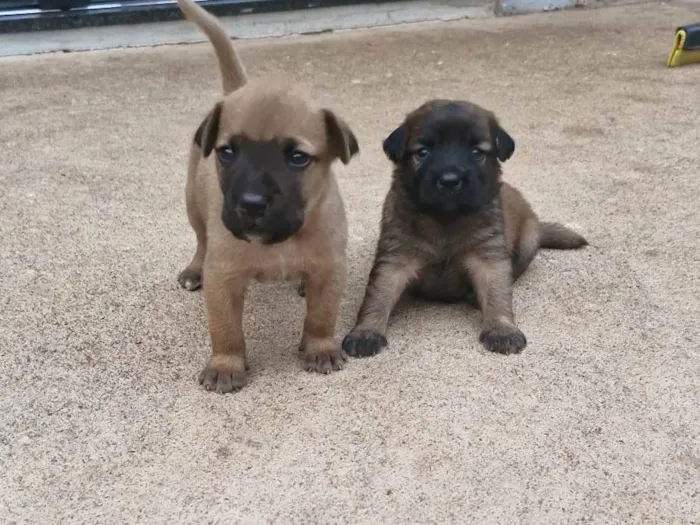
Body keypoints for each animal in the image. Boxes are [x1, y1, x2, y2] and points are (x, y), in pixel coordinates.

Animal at [175, 0, 360, 390]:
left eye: (297, 158)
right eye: (227, 152)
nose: (251, 204)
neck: (281, 241)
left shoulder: (331, 267)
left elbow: (322, 315)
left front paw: (320, 348)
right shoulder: (223, 278)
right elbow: (226, 329)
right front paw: (226, 365)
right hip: (193, 204)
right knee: (201, 240)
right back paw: (194, 269)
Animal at [342, 99, 588, 356]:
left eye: (476, 152)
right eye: (423, 152)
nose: (450, 180)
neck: (445, 220)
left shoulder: (488, 258)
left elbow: (497, 294)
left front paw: (502, 329)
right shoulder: (395, 259)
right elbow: (377, 296)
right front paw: (366, 332)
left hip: (528, 240)